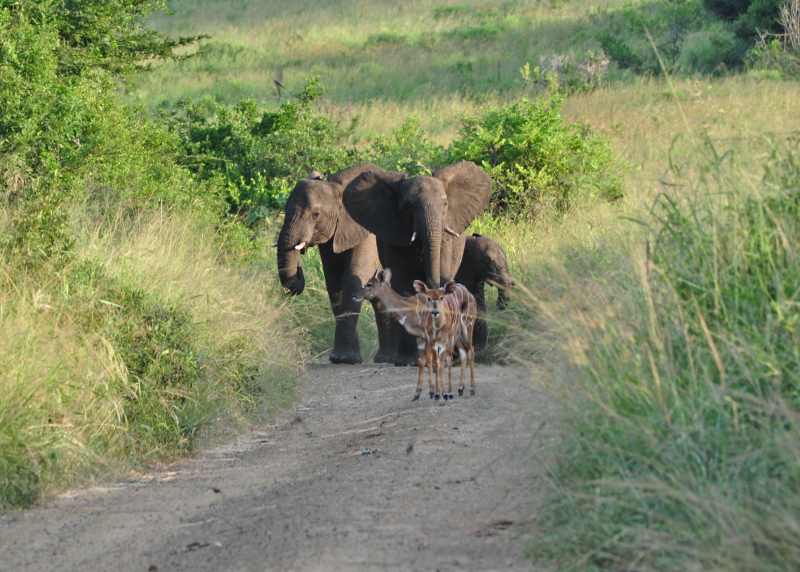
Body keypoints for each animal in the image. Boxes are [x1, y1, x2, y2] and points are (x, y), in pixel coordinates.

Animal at [276, 164, 394, 364]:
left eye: (315, 214)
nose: (299, 274)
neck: (336, 187)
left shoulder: (367, 231)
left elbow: (353, 279)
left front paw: (345, 359)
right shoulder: (330, 238)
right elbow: (334, 283)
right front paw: (343, 358)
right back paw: (385, 358)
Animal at [343, 161, 492, 364]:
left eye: (445, 204)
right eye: (408, 206)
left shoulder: (447, 240)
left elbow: (443, 274)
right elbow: (403, 283)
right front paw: (408, 360)